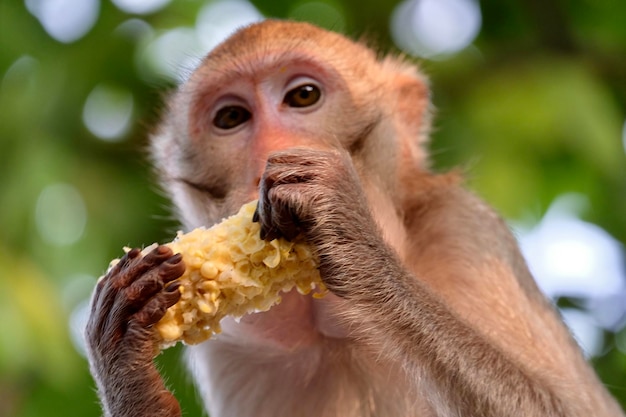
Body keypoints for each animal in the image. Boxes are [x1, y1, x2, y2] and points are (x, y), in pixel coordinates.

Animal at [84, 19, 624, 416]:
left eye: (303, 96)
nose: (270, 155)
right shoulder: (235, 353)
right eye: (232, 118)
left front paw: (350, 235)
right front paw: (124, 359)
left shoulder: (467, 233)